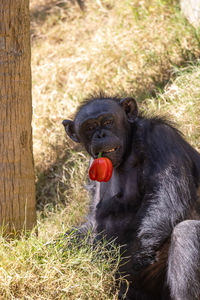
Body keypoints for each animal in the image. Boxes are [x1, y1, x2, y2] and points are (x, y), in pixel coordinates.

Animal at [62, 96, 200, 300]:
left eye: (108, 122)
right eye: (89, 127)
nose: (100, 135)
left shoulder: (160, 137)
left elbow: (165, 201)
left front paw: (111, 271)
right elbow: (92, 221)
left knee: (186, 232)